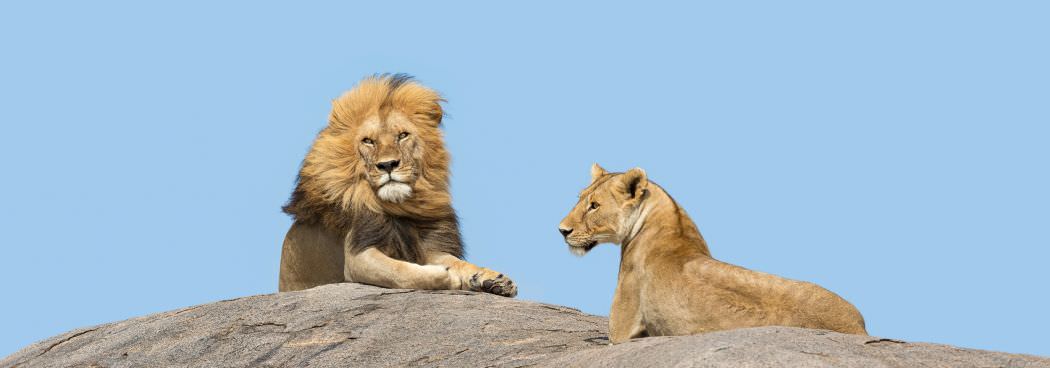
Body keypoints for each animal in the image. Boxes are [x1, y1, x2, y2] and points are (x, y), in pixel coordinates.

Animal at [275, 73, 512, 298]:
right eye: (368, 141)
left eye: (402, 135)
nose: (387, 165)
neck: (400, 206)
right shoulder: (358, 257)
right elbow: (402, 271)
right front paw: (448, 277)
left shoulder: (428, 244)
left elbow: (457, 261)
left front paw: (491, 278)